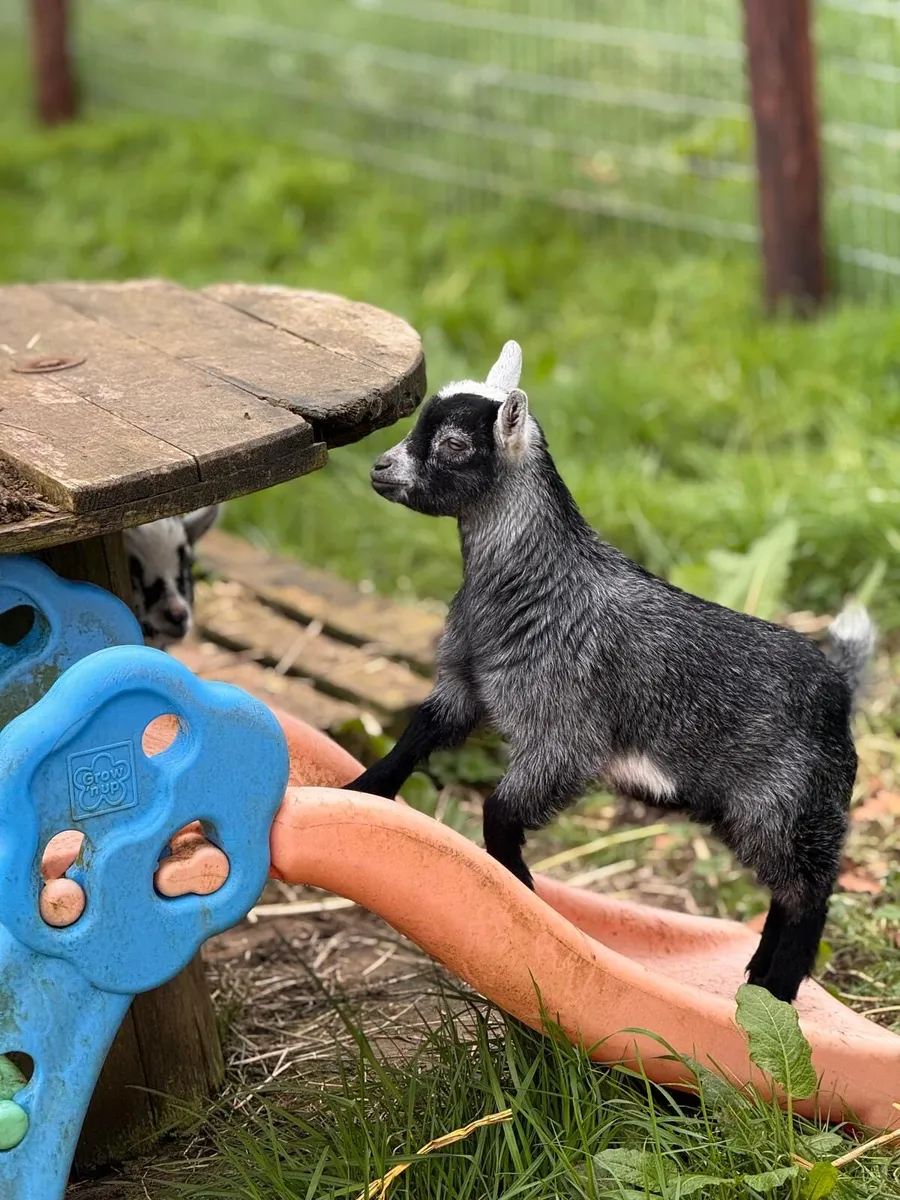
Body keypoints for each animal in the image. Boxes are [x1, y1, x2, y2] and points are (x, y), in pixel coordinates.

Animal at [345, 341, 874, 1004]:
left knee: (811, 891)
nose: (380, 469)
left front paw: (520, 892)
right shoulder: (462, 686)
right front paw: (360, 790)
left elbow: (499, 811)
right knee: (788, 889)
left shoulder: (563, 735)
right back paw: (755, 980)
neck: (537, 584)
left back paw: (777, 991)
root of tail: (841, 689)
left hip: (786, 803)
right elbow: (416, 735)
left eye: (456, 444)